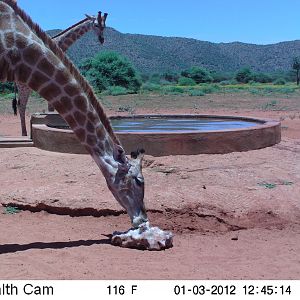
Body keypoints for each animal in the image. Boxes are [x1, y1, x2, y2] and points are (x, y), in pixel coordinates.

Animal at [0, 0, 148, 229]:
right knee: (22, 106)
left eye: (104, 25)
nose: (142, 220)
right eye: (139, 181)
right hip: (23, 87)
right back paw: (24, 133)